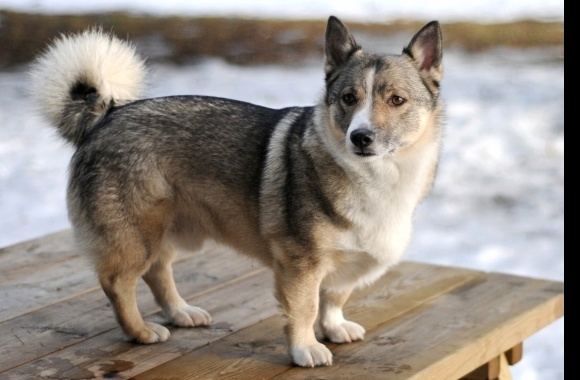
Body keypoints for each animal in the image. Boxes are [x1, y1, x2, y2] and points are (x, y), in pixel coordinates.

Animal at [28, 16, 444, 366]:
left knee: (158, 271)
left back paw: (180, 312)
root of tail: (107, 115)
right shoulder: (300, 263)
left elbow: (334, 296)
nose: (360, 137)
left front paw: (334, 326)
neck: (376, 176)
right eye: (348, 98)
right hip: (136, 235)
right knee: (118, 283)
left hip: (169, 230)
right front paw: (305, 348)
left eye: (396, 100)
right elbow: (305, 308)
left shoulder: (339, 264)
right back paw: (141, 332)